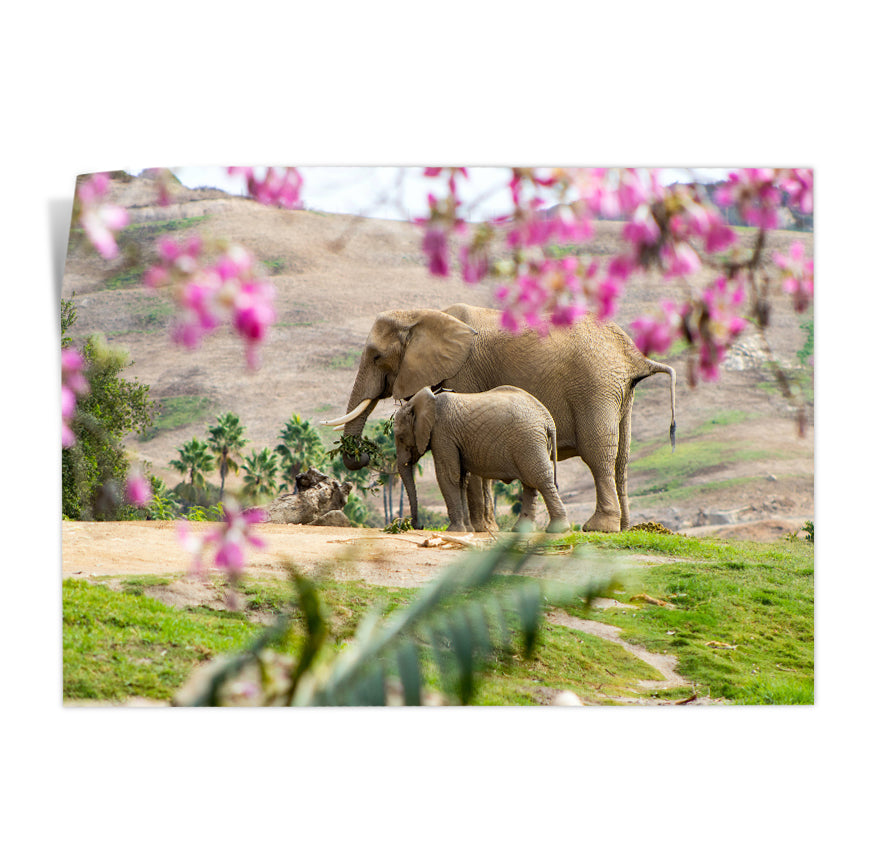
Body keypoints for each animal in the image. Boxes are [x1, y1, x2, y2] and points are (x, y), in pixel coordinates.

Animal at [394, 386, 569, 533]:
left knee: (539, 479)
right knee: (530, 483)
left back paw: (558, 529)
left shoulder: (442, 434)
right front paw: (468, 530)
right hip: (533, 443)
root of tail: (548, 420)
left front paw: (454, 531)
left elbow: (448, 476)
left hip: (529, 440)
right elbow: (461, 480)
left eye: (400, 437)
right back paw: (521, 530)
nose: (419, 526)